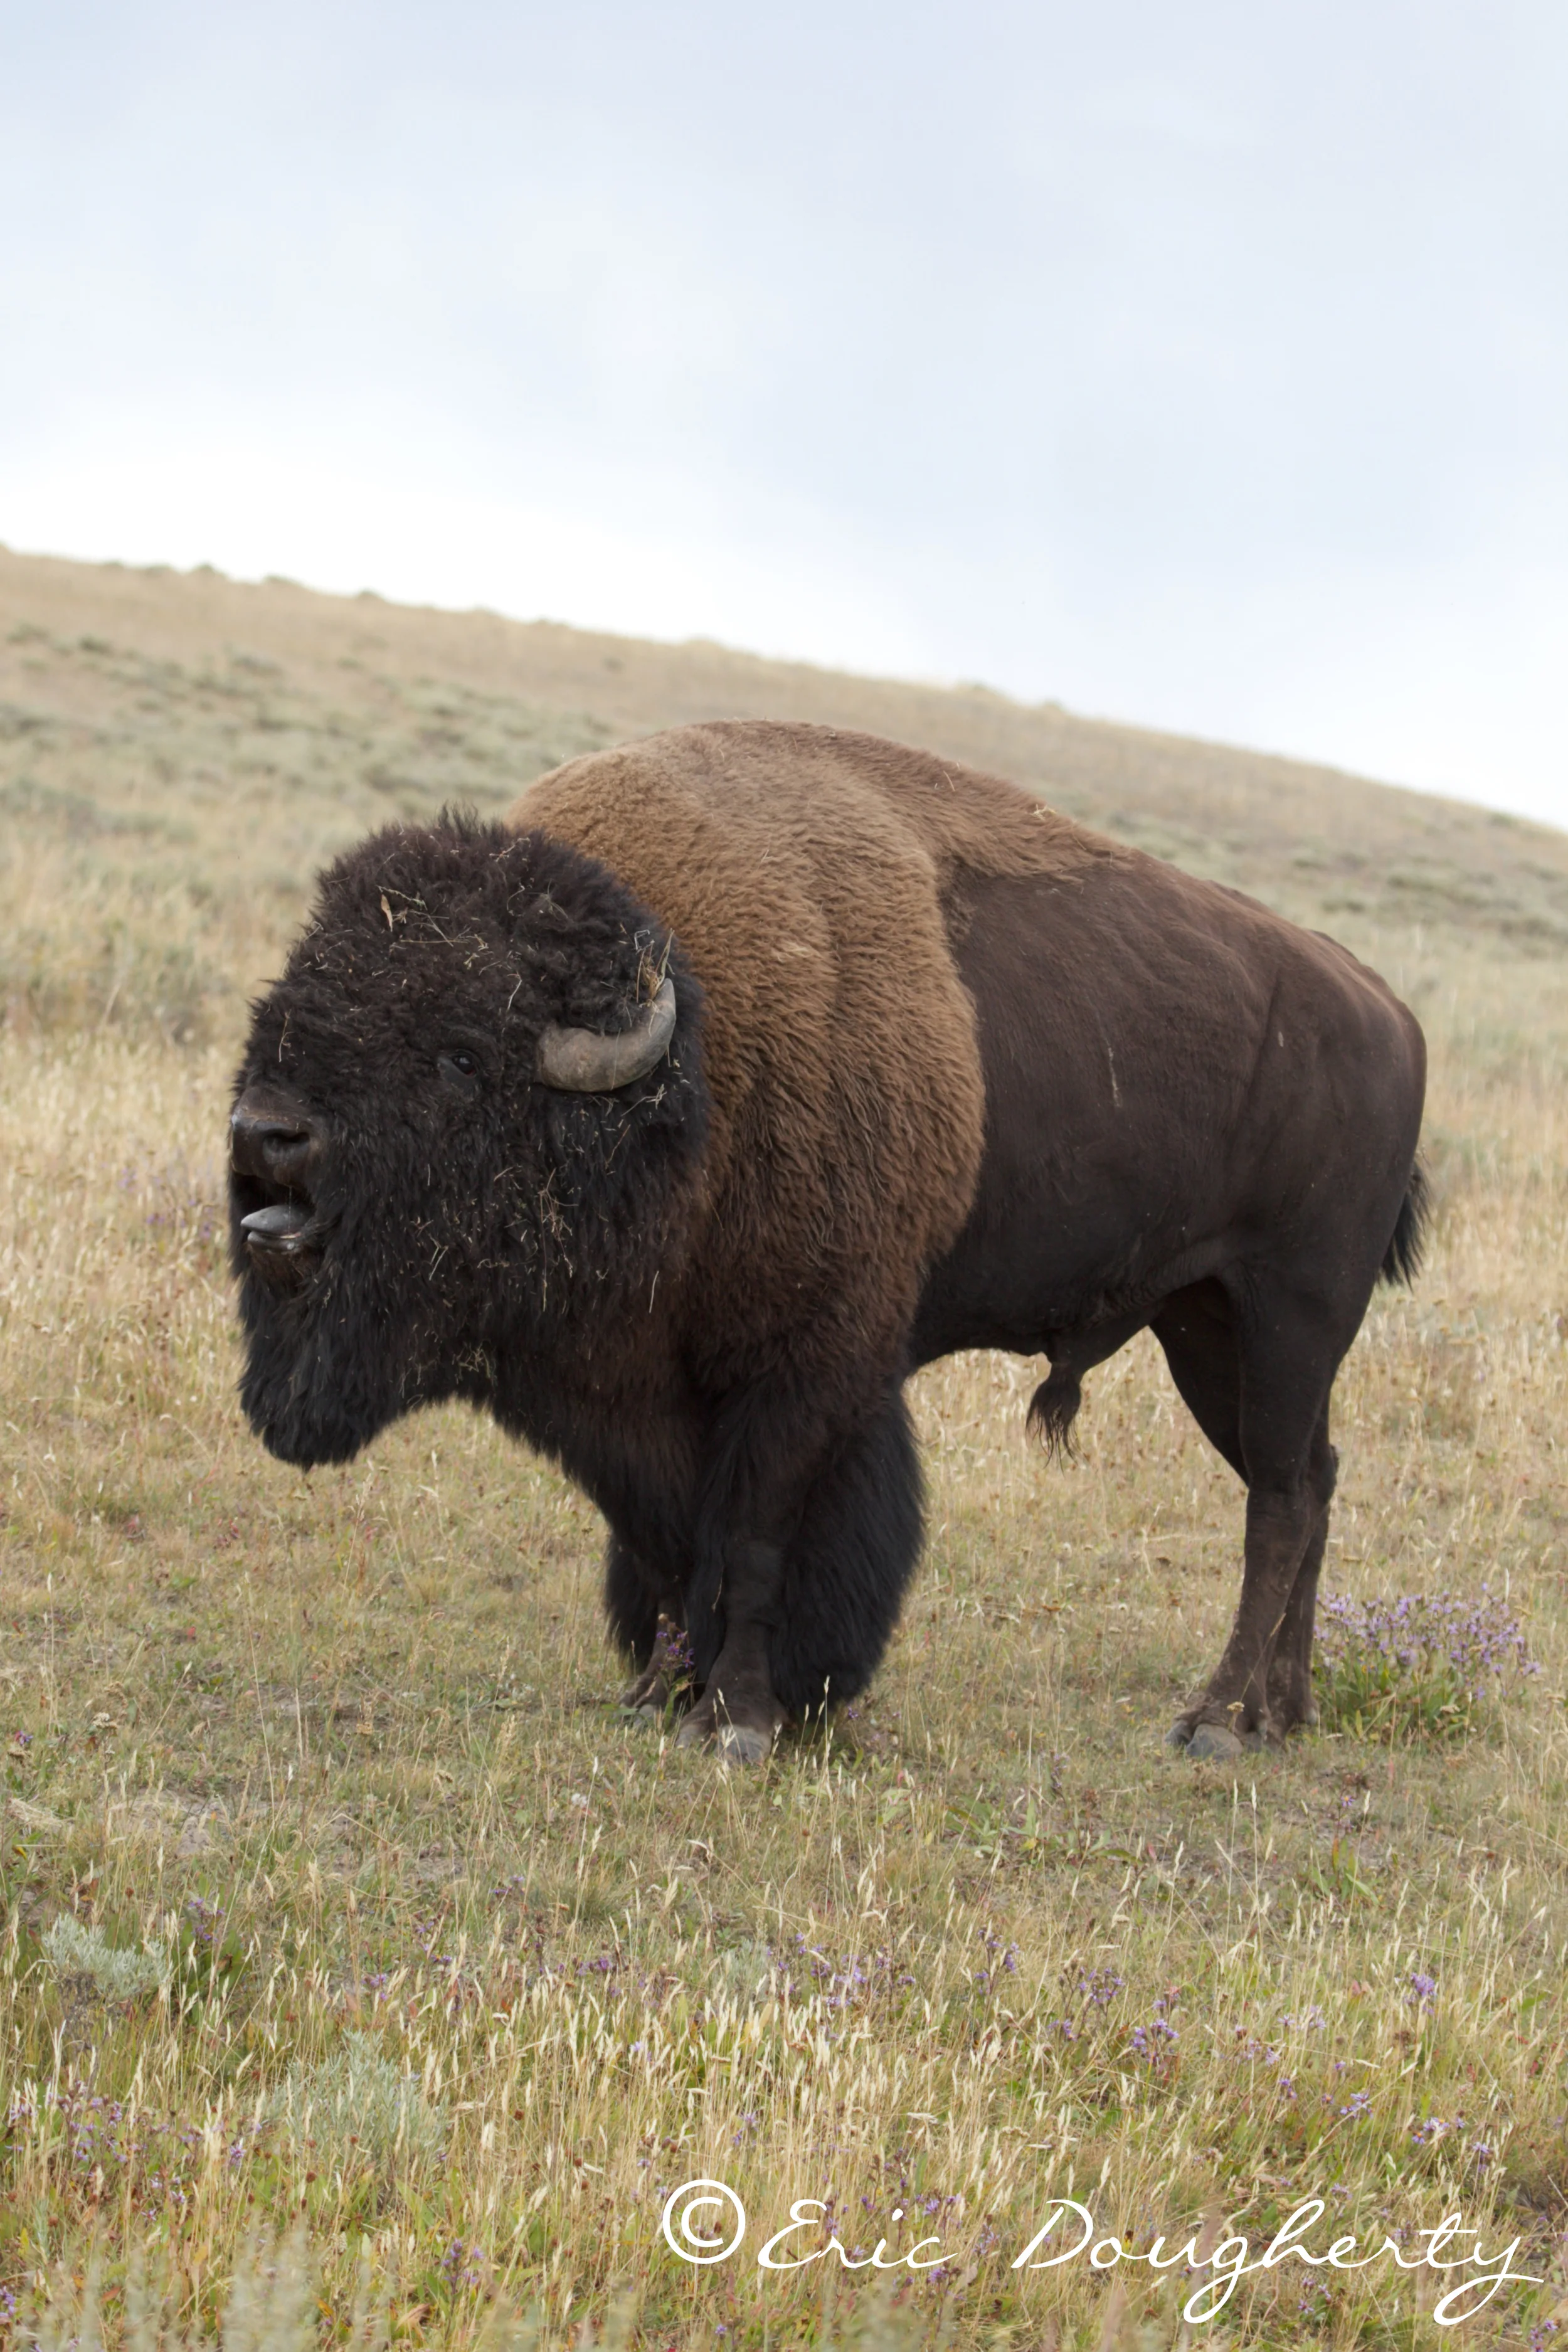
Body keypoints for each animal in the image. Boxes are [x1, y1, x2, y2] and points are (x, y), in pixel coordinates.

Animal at [230, 721, 1426, 1763]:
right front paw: (658, 1691)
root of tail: (1392, 1013)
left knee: (1279, 1503)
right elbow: (662, 1545)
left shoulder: (807, 1372)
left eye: (461, 1058)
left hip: (1286, 1317)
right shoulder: (633, 1396)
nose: (267, 1132)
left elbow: (757, 1540)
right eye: (290, 993)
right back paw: (1284, 1713)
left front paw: (739, 1722)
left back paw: (1215, 1721)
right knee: (1312, 1482)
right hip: (1205, 1330)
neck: (690, 1073)